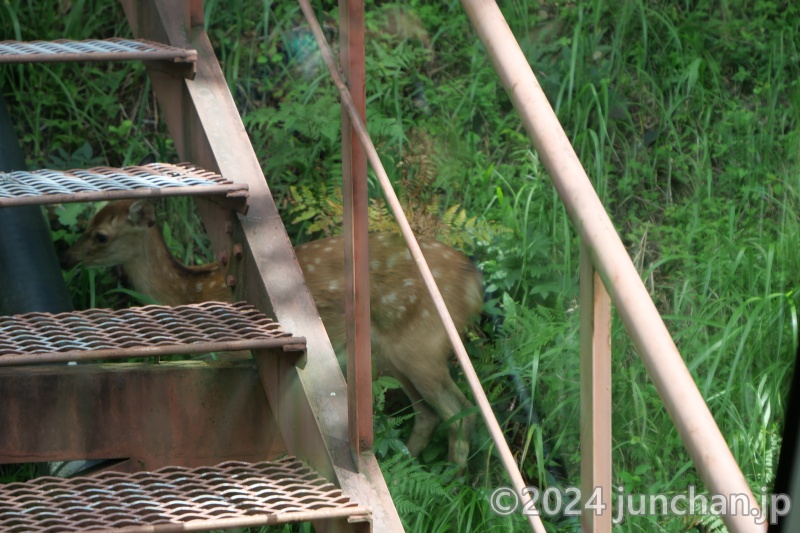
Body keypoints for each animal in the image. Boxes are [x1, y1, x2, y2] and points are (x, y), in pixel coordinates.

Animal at [62, 197, 484, 464]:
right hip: (393, 354)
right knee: (429, 415)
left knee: (461, 412)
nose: (69, 256)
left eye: (101, 235)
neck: (192, 291)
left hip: (422, 344)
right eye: (88, 222)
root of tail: (472, 283)